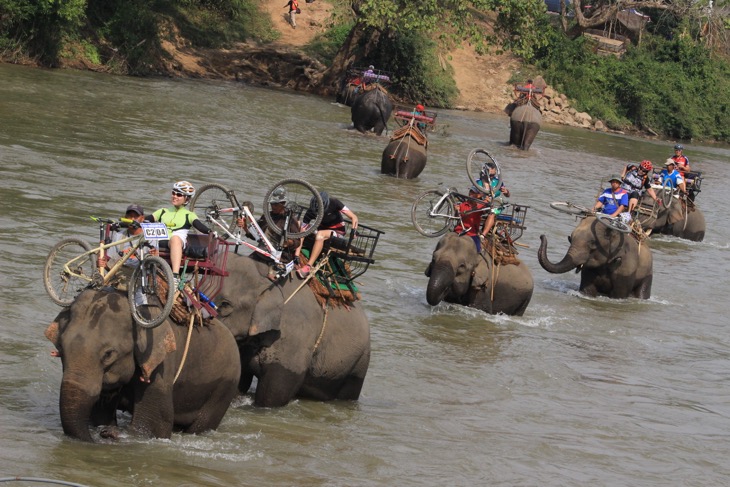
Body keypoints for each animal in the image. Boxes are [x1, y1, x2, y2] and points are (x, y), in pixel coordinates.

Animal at [44, 288, 239, 444]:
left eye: (108, 354)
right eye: (61, 347)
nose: (99, 436)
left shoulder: (160, 364)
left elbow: (154, 425)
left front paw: (112, 432)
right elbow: (101, 411)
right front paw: (105, 427)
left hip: (224, 388)